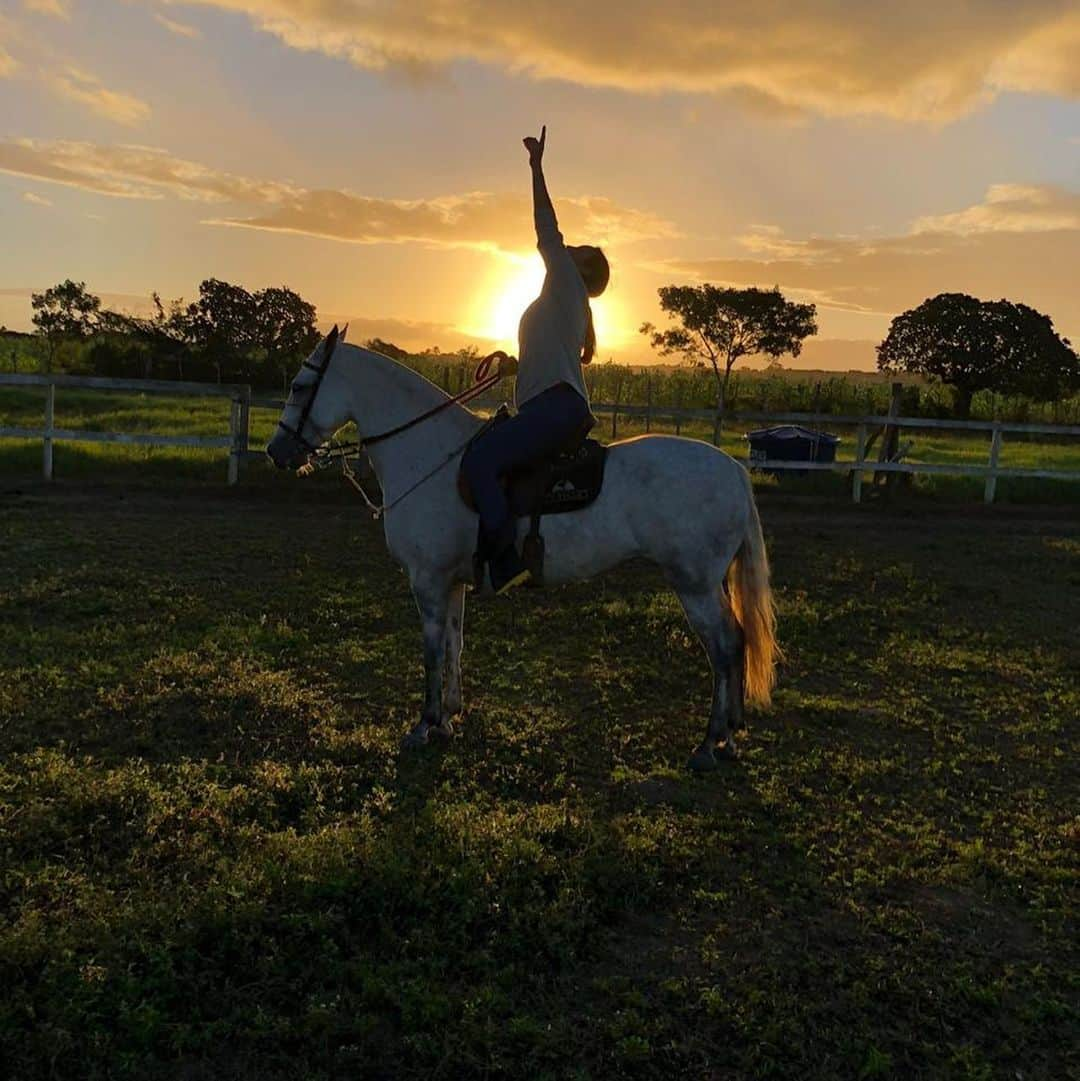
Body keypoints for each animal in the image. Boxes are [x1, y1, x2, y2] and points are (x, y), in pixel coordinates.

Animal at [267, 328, 782, 769]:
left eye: (298, 386)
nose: (276, 452)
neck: (430, 454)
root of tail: (733, 469)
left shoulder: (427, 580)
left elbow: (432, 651)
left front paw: (424, 725)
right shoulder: (451, 582)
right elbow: (454, 644)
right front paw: (449, 718)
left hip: (694, 585)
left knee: (724, 646)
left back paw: (710, 742)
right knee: (736, 642)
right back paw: (729, 736)